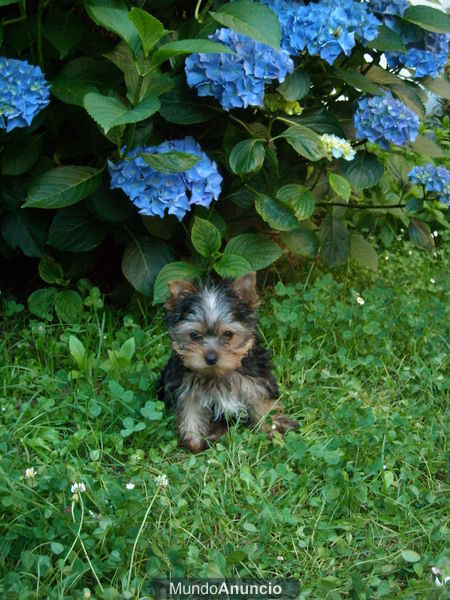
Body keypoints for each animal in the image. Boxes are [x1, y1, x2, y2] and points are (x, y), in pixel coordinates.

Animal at [158, 270, 298, 450]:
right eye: (194, 335)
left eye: (228, 334)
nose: (210, 358)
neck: (219, 374)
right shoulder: (186, 390)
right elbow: (191, 415)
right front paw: (194, 443)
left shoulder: (257, 383)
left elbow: (263, 405)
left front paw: (272, 431)